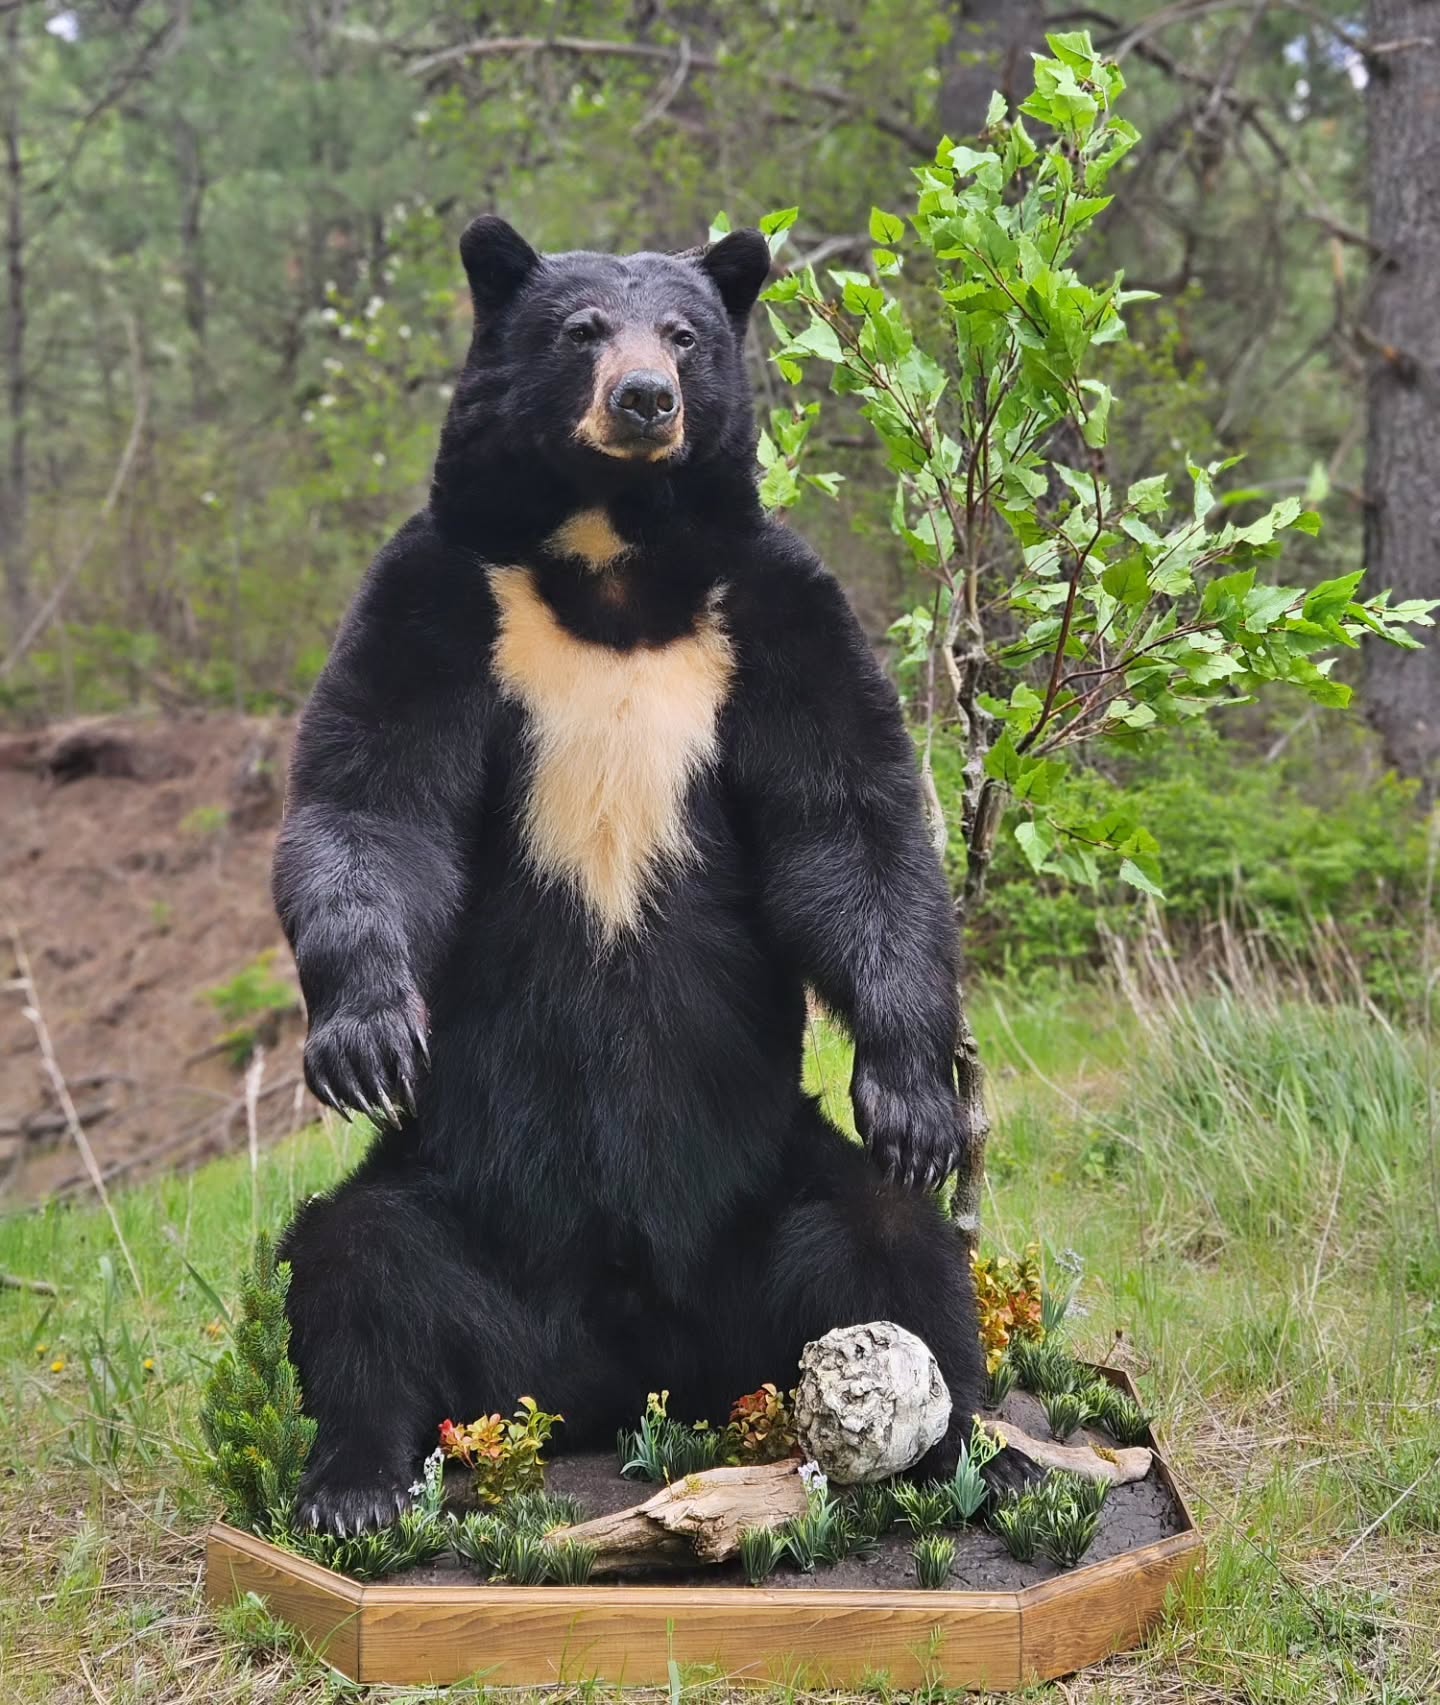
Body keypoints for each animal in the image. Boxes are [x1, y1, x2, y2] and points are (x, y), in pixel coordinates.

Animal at [274, 219, 981, 1541]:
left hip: (771, 1179)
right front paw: (365, 1037)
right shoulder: (441, 588)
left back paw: (970, 1456)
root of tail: (622, 1376)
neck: (611, 556)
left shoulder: (772, 605)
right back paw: (355, 1485)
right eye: (583, 330)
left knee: (893, 1244)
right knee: (355, 1265)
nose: (646, 400)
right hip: (455, 1196)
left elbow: (846, 817)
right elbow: (373, 793)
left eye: (688, 336)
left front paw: (913, 1089)